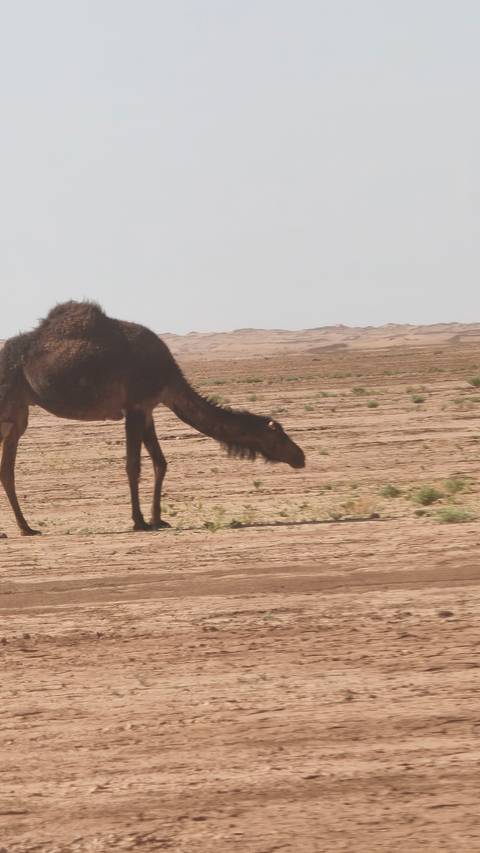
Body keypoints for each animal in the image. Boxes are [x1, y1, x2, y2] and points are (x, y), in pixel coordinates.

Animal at [0, 301, 305, 536]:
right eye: (280, 437)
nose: (301, 457)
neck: (168, 375)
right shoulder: (135, 406)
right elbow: (133, 466)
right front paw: (139, 522)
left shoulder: (147, 409)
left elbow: (160, 462)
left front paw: (158, 518)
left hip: (18, 414)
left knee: (7, 469)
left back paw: (26, 528)